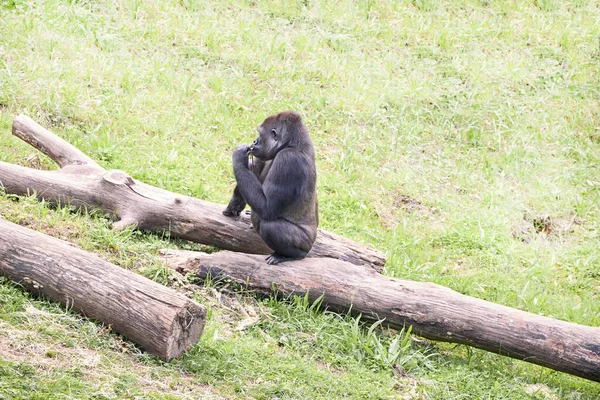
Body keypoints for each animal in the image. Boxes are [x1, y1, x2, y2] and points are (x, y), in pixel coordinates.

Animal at [223, 111, 318, 264]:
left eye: (260, 134)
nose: (254, 141)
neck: (293, 144)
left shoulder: (288, 160)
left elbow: (266, 207)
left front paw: (238, 157)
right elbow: (255, 167)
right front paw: (234, 204)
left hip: (306, 243)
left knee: (270, 226)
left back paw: (291, 255)